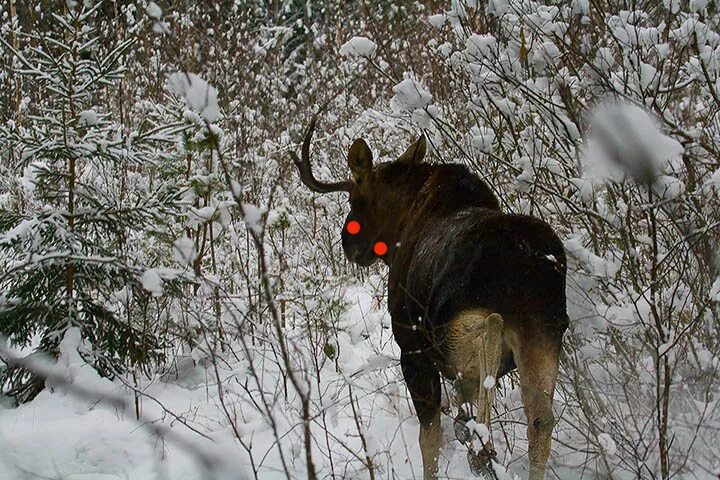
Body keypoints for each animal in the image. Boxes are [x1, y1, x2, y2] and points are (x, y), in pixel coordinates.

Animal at [292, 117, 568, 480]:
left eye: (355, 201)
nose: (349, 246)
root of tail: (530, 262)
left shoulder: (411, 347)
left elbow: (430, 436)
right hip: (544, 333)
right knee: (540, 419)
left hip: (453, 327)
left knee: (489, 330)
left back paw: (482, 446)